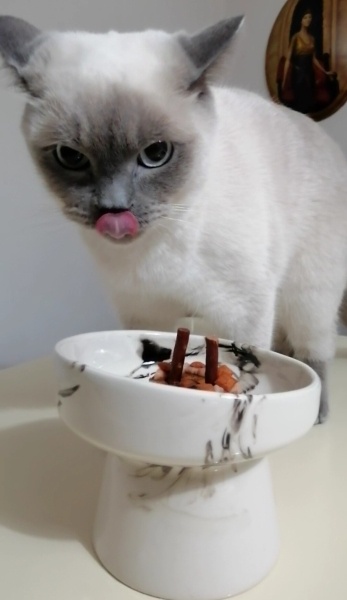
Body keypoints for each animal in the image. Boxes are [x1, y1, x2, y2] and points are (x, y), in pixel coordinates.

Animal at [0, 17, 347, 422]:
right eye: (70, 157)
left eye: (156, 153)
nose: (114, 212)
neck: (154, 251)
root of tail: (316, 130)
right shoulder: (145, 315)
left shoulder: (243, 313)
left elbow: (249, 358)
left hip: (306, 292)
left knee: (313, 351)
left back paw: (317, 412)